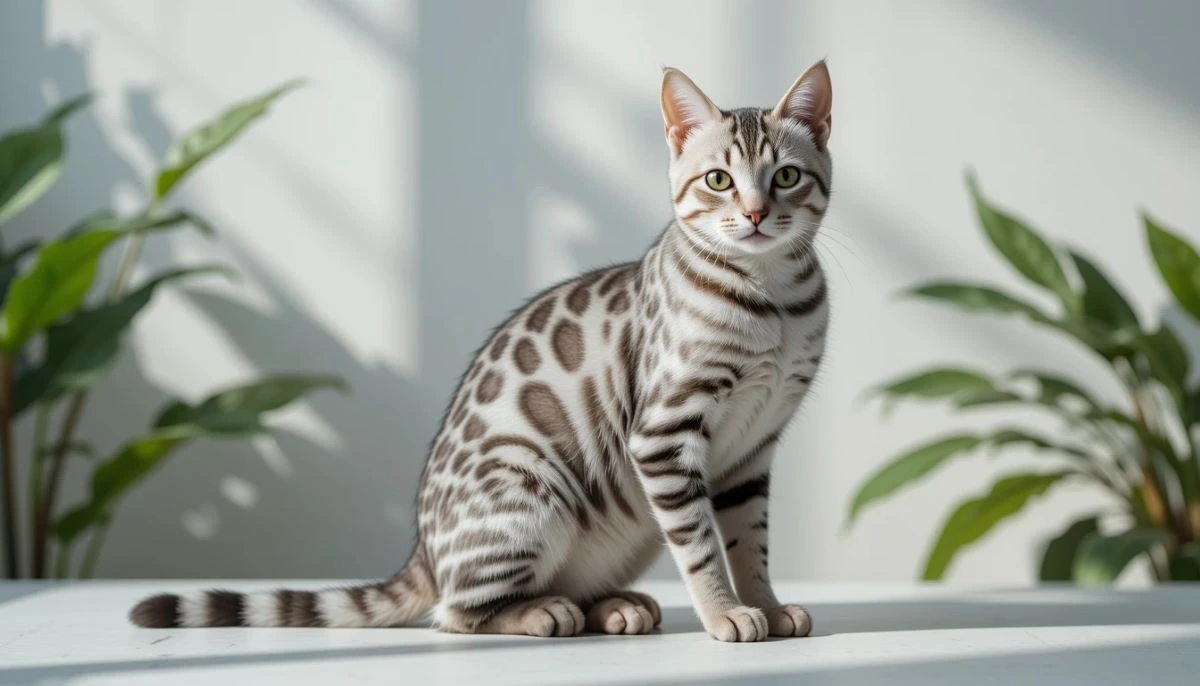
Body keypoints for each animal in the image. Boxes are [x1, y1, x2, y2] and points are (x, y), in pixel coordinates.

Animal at [126, 60, 830, 642]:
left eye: (786, 176)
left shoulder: (751, 451)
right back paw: (543, 613)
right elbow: (702, 546)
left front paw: (766, 606)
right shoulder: (665, 433)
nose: (756, 213)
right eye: (718, 180)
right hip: (530, 491)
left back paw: (615, 606)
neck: (773, 301)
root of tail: (422, 551)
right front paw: (725, 614)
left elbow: (749, 544)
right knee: (457, 613)